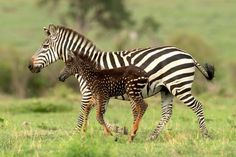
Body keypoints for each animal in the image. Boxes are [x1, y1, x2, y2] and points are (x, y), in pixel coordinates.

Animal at [28, 24, 215, 140]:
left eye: (45, 46)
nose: (29, 66)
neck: (89, 64)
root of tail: (188, 54)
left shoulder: (89, 92)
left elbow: (84, 113)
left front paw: (75, 134)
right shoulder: (101, 94)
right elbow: (99, 113)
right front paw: (120, 130)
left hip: (179, 85)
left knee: (198, 106)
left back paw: (205, 134)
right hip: (166, 89)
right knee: (167, 113)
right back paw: (152, 136)